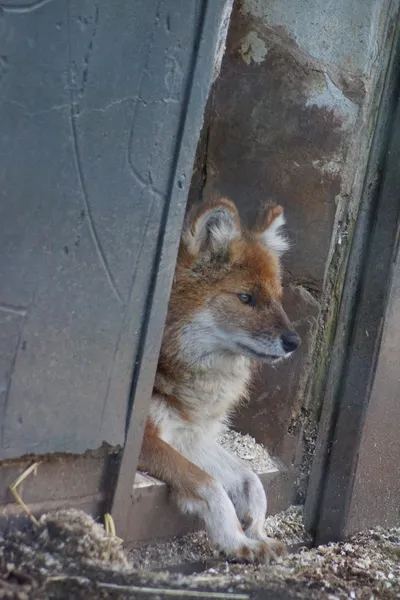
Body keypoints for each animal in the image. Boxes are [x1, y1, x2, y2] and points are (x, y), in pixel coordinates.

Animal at [141, 198, 300, 564]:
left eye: (276, 297)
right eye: (245, 298)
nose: (294, 341)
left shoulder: (187, 434)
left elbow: (251, 481)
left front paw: (257, 532)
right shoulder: (146, 438)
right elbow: (209, 485)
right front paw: (236, 540)